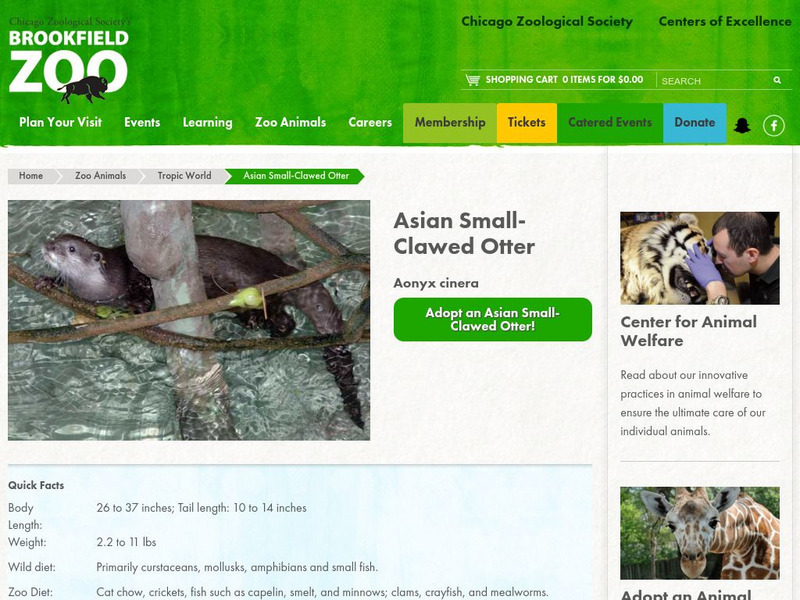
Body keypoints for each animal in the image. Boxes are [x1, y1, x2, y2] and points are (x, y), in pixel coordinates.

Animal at [39, 234, 364, 429]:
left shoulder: (136, 278)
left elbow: (144, 295)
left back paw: (259, 327)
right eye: (57, 238)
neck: (105, 288)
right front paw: (48, 281)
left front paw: (137, 310)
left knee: (283, 318)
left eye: (70, 249)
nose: (46, 247)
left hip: (261, 289)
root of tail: (285, 271)